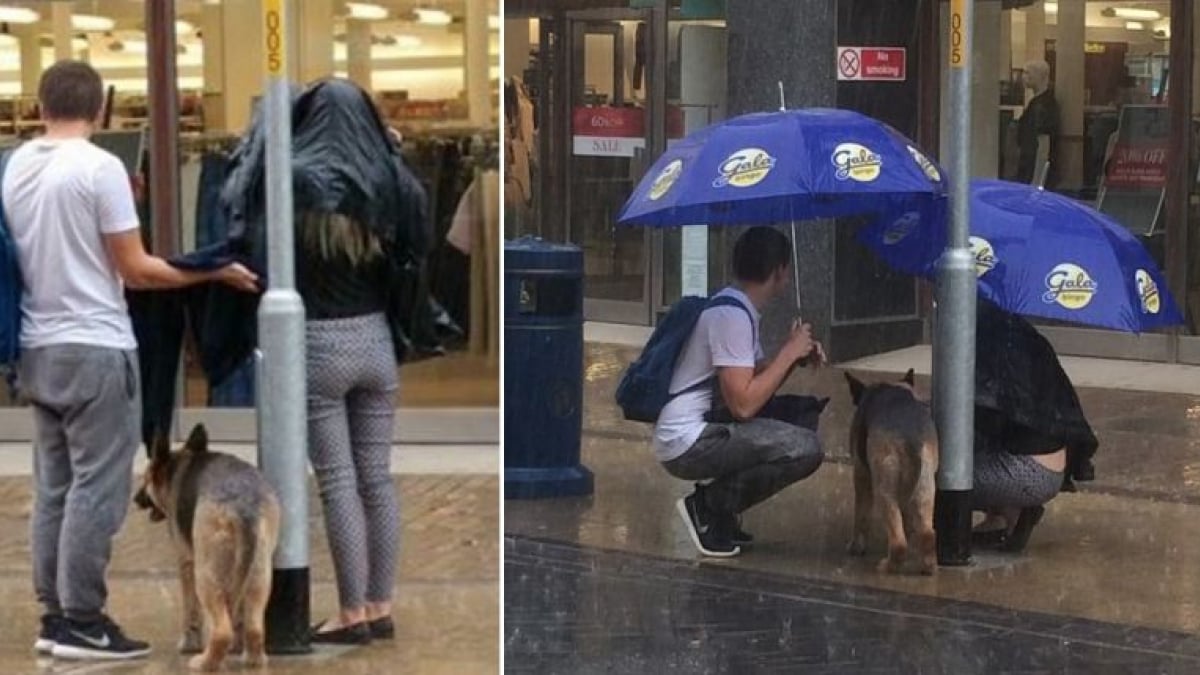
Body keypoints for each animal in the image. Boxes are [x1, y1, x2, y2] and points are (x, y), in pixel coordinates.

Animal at [135, 422, 279, 667]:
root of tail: (244, 506)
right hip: (259, 573)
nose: (135, 499)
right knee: (254, 626)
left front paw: (188, 643)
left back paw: (205, 662)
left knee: (222, 630)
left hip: (206, 575)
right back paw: (253, 659)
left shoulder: (186, 563)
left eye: (147, 478)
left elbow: (190, 611)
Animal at [840, 367, 940, 571]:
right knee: (927, 534)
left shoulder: (861, 474)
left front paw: (856, 547)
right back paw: (928, 567)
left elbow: (861, 515)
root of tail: (912, 440)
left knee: (898, 543)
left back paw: (887, 566)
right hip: (926, 488)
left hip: (884, 491)